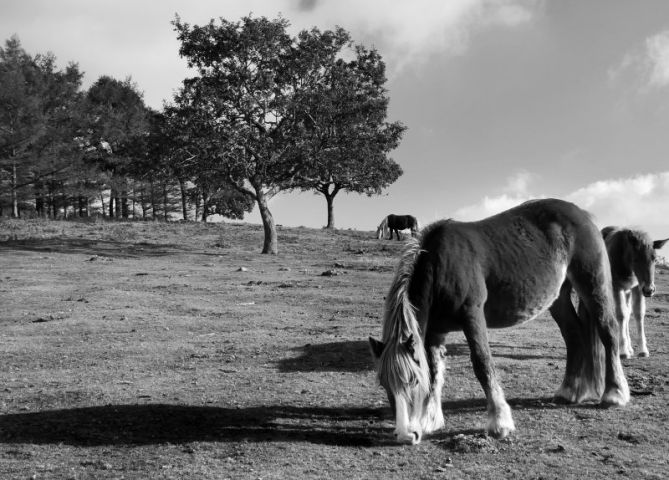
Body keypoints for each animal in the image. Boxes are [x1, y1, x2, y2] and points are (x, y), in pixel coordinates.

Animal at [368, 197, 628, 444]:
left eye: (412, 381)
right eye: (384, 384)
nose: (406, 435)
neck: (441, 265)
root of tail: (582, 214)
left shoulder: (472, 316)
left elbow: (482, 364)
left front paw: (500, 422)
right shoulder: (434, 332)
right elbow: (433, 372)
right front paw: (430, 419)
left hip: (593, 284)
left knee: (608, 331)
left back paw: (614, 394)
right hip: (559, 299)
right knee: (574, 335)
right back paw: (569, 392)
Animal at [600, 227, 668, 358]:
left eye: (654, 259)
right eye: (636, 259)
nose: (649, 290)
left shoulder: (637, 287)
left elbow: (638, 313)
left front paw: (643, 350)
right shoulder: (617, 287)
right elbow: (620, 314)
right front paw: (623, 351)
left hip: (628, 291)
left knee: (628, 312)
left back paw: (630, 347)